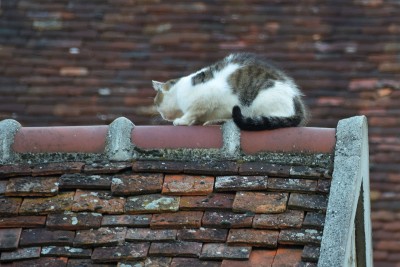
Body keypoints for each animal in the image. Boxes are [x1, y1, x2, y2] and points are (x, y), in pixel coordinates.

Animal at [152, 52, 308, 131]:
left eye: (156, 103)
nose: (161, 115)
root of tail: (297, 104)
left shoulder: (206, 97)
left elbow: (192, 112)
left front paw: (182, 121)